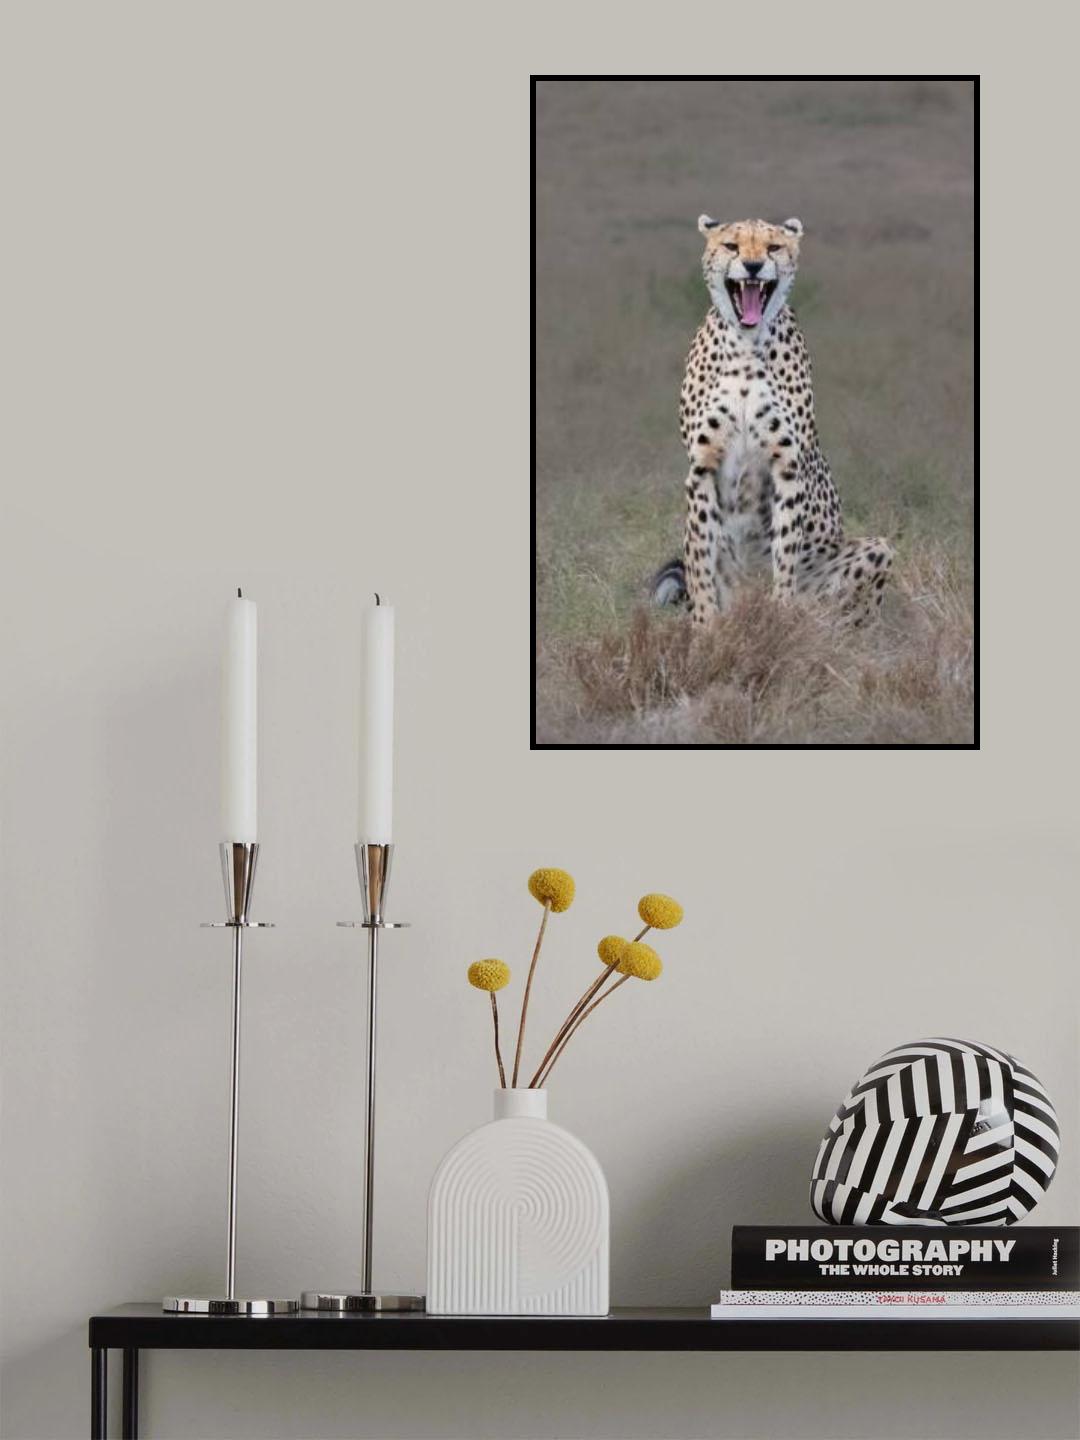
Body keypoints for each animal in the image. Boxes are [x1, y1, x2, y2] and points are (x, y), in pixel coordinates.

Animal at [652, 215, 893, 626]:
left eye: (773, 247)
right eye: (731, 246)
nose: (752, 266)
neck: (746, 346)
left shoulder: (787, 465)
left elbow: (785, 554)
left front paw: (780, 615)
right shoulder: (701, 467)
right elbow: (700, 561)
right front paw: (705, 627)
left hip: (877, 551)